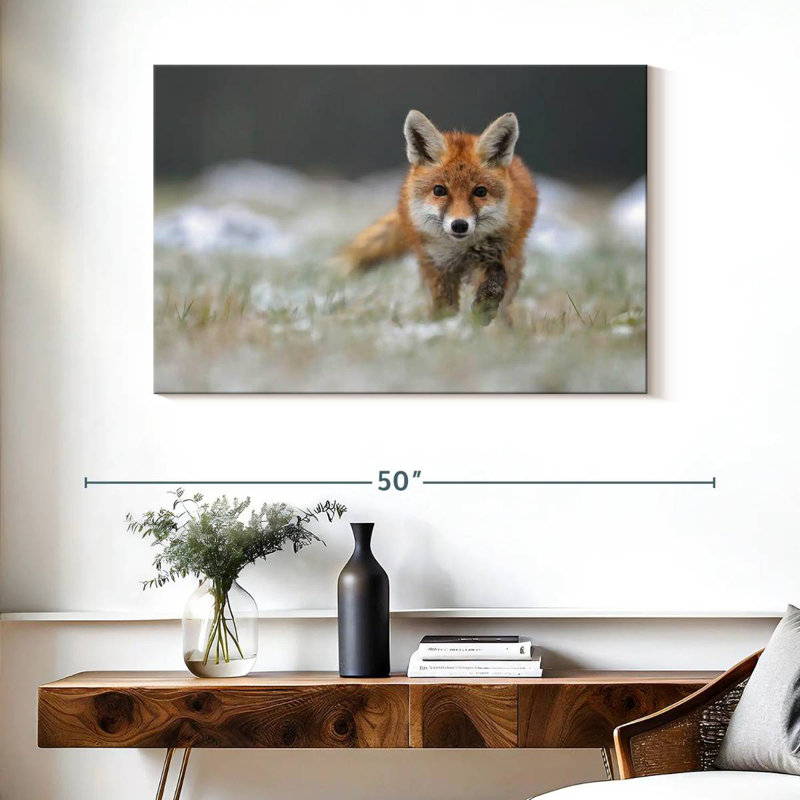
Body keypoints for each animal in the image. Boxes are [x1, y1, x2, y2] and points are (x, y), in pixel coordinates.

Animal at [338, 110, 538, 325]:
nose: (459, 225)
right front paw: (445, 327)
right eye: (439, 190)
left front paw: (483, 309)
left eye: (480, 191)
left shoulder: (498, 253)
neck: (461, 251)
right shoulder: (438, 264)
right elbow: (444, 305)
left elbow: (496, 278)